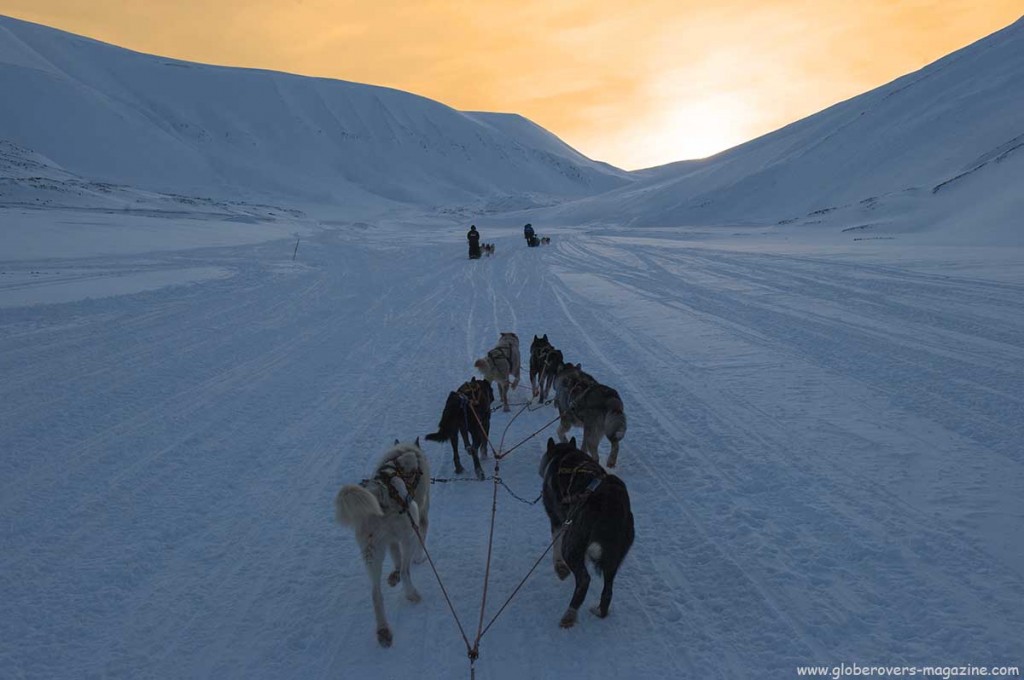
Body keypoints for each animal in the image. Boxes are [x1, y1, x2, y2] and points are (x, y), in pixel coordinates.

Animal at [333, 440, 430, 647]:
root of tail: (380, 493)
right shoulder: (421, 517)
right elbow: (416, 550)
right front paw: (419, 559)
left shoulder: (390, 541)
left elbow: (395, 557)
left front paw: (393, 575)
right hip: (409, 530)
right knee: (406, 569)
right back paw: (411, 593)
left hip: (371, 552)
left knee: (376, 593)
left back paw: (383, 630)